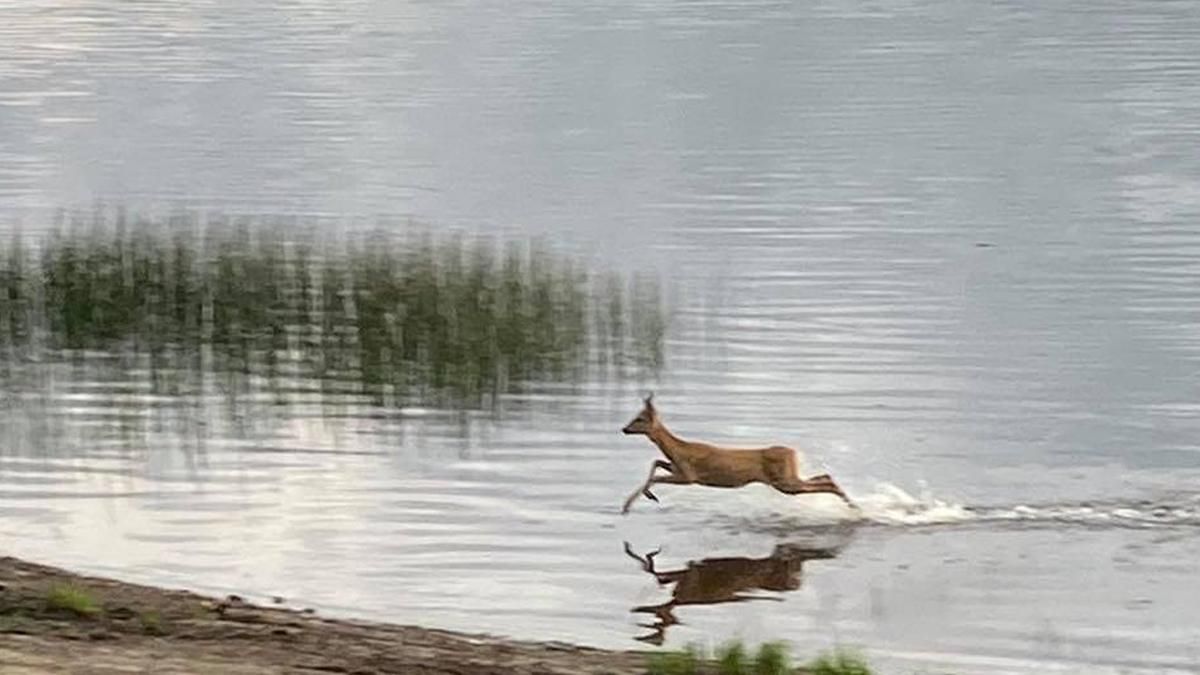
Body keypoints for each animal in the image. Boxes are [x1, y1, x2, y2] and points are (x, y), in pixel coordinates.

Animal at [619, 391, 854, 511]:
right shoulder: (678, 468)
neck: (679, 449)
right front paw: (635, 500)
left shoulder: (690, 476)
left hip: (784, 481)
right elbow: (656, 462)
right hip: (787, 479)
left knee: (825, 481)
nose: (624, 429)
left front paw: (635, 501)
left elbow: (656, 475)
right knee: (825, 476)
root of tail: (793, 452)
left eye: (639, 419)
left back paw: (854, 508)